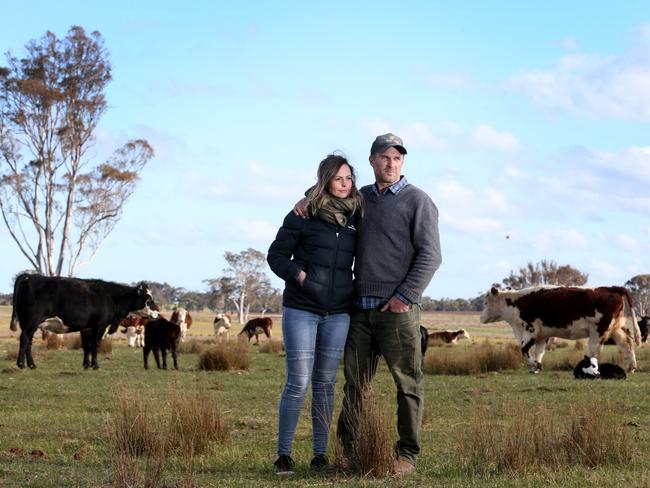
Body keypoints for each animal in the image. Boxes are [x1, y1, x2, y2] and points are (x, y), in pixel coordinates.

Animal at [10, 274, 158, 370]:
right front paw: (95, 365)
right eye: (148, 299)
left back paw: (31, 365)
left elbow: (86, 346)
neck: (112, 297)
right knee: (24, 340)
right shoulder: (100, 325)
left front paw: (86, 364)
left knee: (28, 342)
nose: (157, 311)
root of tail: (28, 276)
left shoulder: (86, 327)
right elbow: (95, 345)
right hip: (30, 323)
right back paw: (21, 364)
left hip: (30, 325)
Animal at [478, 286, 640, 374]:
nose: (481, 318)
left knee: (594, 351)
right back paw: (631, 367)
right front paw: (536, 368)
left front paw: (535, 365)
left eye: (485, 302)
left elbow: (524, 350)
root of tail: (611, 288)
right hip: (616, 329)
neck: (516, 303)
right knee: (627, 344)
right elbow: (539, 352)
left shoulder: (530, 330)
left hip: (598, 331)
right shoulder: (542, 335)